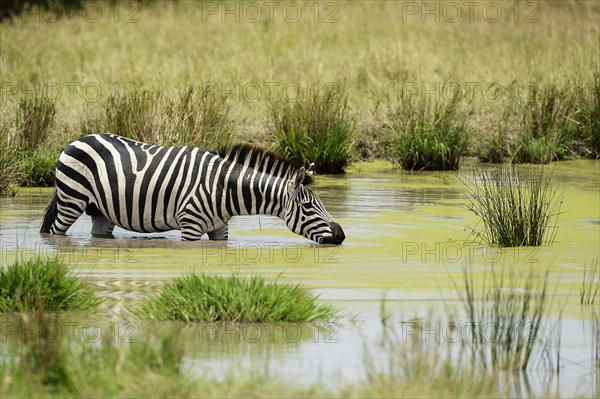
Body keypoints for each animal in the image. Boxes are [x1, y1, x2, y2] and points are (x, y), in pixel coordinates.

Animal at [39, 134, 344, 245]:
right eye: (308, 207)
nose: (341, 235)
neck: (224, 189)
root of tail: (78, 139)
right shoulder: (191, 226)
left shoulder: (220, 228)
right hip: (71, 201)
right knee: (54, 233)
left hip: (100, 212)